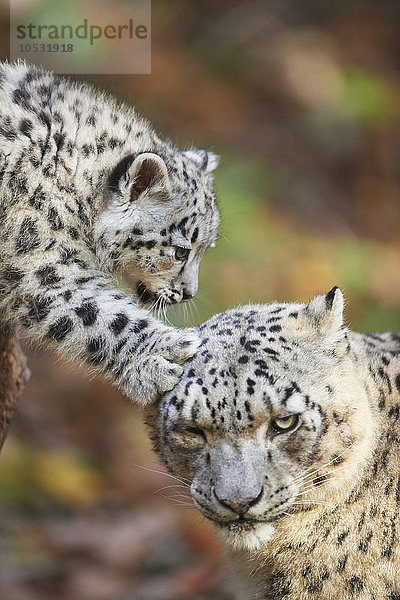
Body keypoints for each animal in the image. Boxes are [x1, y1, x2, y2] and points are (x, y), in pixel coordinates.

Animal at [0, 62, 219, 404]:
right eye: (180, 251)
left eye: (206, 248)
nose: (189, 293)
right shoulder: (39, 263)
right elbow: (101, 316)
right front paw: (170, 348)